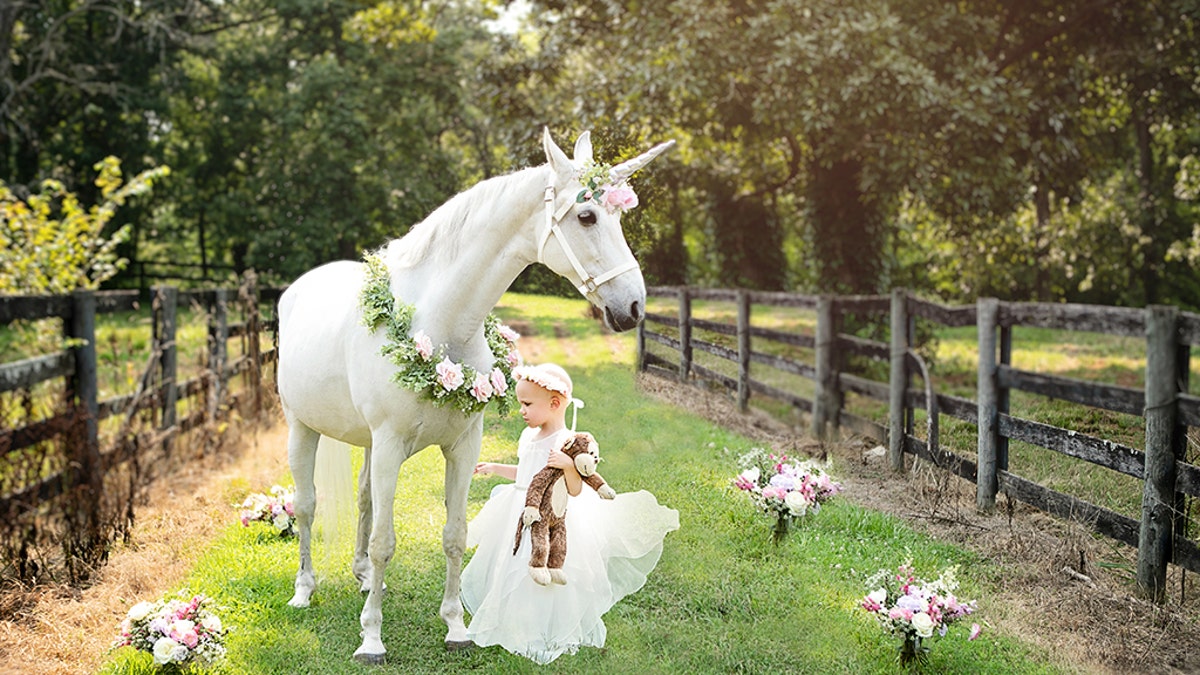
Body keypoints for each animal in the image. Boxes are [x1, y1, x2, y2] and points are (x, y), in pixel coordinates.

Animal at [278, 128, 676, 658]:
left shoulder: (462, 447)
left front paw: (456, 627)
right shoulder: (390, 445)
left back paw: (362, 577)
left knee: (363, 501)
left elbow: (454, 534)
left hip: (365, 444)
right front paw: (372, 638)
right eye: (587, 216)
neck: (439, 319)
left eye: (618, 217)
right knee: (306, 506)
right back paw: (305, 590)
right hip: (302, 429)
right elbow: (385, 541)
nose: (633, 306)